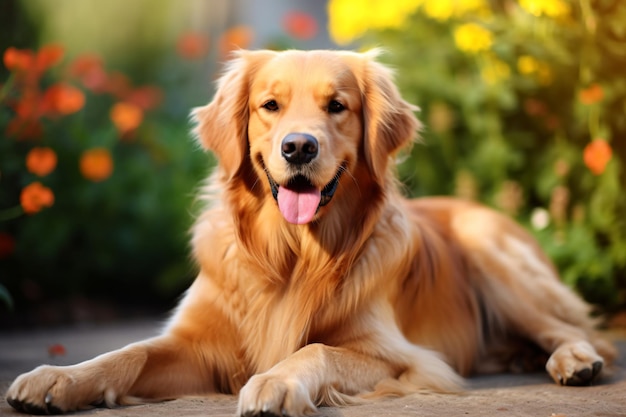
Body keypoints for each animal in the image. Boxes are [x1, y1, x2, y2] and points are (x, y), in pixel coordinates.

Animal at [7, 49, 616, 416]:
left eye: (337, 106)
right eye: (270, 105)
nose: (299, 146)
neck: (294, 255)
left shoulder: (408, 358)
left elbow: (318, 347)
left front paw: (276, 381)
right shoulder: (198, 343)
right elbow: (128, 352)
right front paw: (57, 378)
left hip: (491, 254)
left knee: (567, 328)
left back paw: (574, 361)